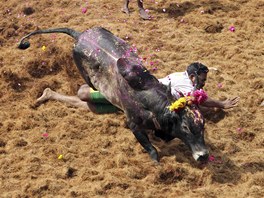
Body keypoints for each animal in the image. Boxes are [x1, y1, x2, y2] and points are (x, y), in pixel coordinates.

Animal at [18, 26, 208, 162]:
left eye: (202, 126)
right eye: (185, 127)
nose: (204, 156)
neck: (150, 101)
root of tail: (80, 36)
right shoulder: (134, 125)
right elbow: (151, 148)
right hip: (86, 78)